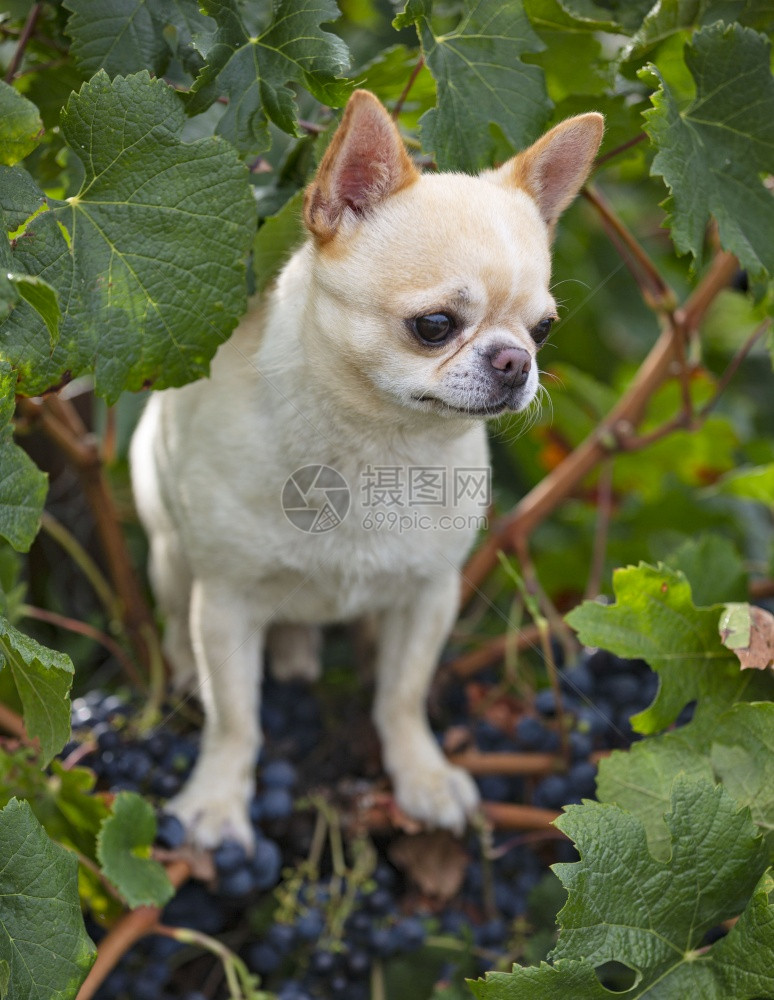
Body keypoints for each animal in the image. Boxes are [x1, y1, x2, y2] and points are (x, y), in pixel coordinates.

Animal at [132, 90, 608, 848]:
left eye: (544, 330)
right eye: (434, 326)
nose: (516, 361)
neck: (377, 446)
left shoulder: (429, 595)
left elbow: (402, 696)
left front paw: (422, 775)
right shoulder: (227, 605)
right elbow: (236, 720)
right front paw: (215, 802)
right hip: (171, 557)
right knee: (179, 622)